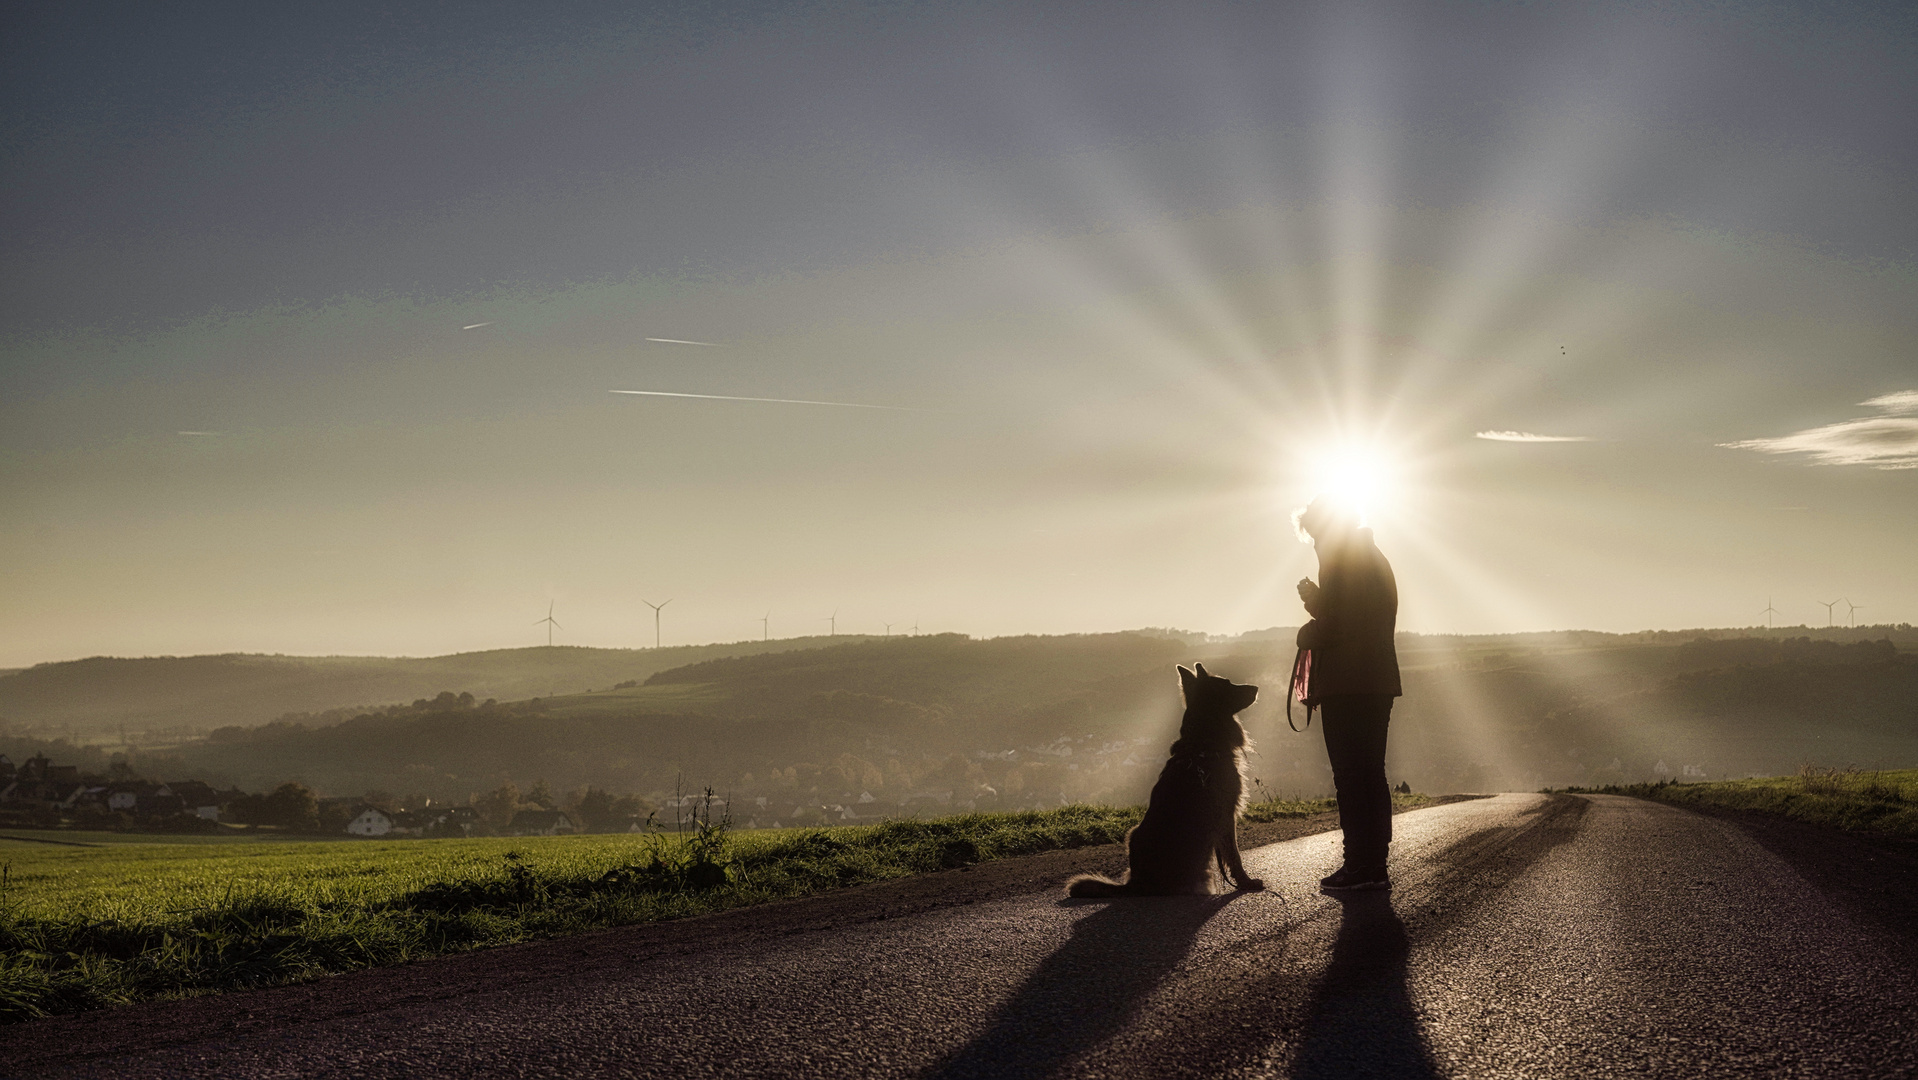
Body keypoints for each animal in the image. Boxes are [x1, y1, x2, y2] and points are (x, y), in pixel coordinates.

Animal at [1074, 663, 1265, 901]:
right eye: (1228, 684)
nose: (1256, 688)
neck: (1203, 745)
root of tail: (1135, 884)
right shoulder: (1226, 815)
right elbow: (1234, 855)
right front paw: (1246, 882)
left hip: (1133, 833)